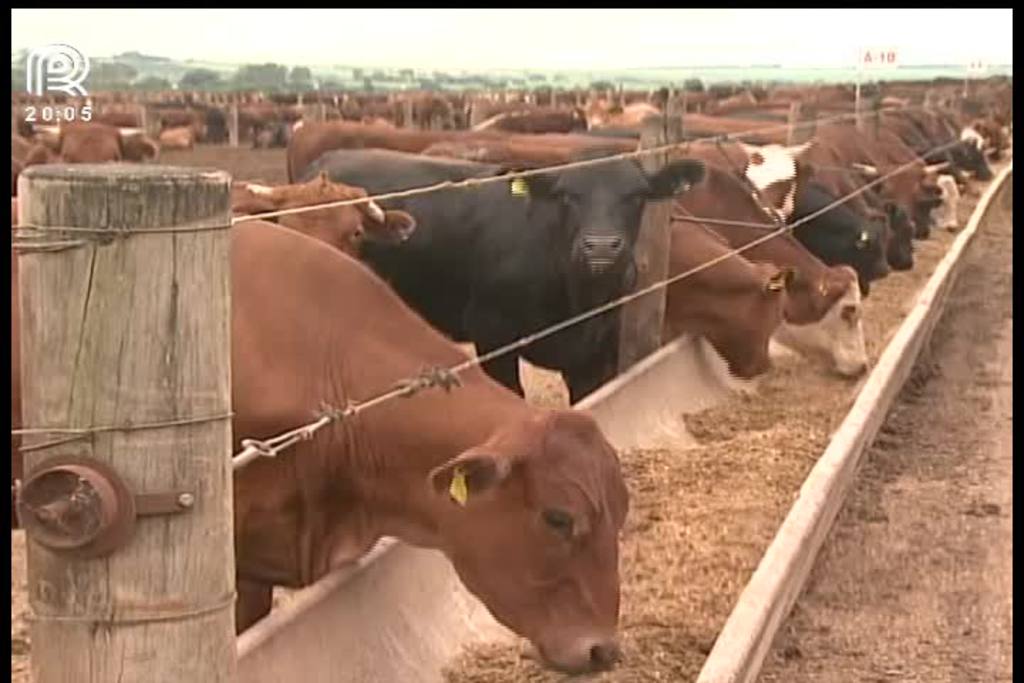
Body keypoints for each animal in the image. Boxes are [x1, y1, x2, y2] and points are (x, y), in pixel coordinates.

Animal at [299, 143, 708, 401]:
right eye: (566, 196)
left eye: (636, 196)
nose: (602, 247)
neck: (577, 301)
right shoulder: (492, 333)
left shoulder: (597, 351)